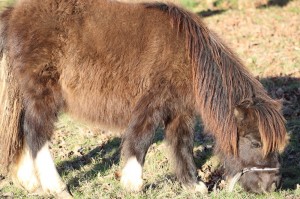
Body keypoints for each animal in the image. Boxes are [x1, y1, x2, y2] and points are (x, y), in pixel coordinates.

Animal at [0, 0, 286, 197]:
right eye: (255, 142)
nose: (272, 185)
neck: (189, 58)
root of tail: (14, 14)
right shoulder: (152, 104)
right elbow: (141, 139)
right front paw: (133, 182)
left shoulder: (179, 112)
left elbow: (182, 146)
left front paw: (193, 185)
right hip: (43, 93)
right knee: (36, 133)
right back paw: (55, 186)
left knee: (23, 133)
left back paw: (30, 182)